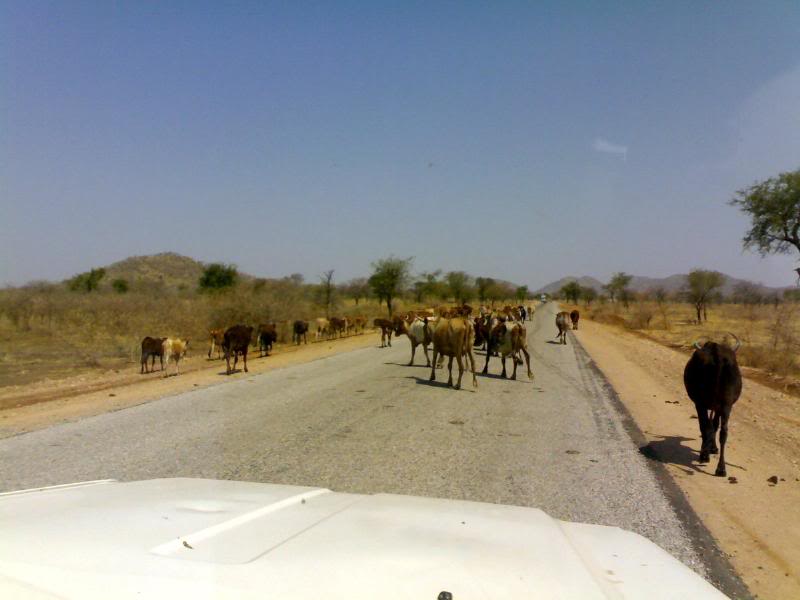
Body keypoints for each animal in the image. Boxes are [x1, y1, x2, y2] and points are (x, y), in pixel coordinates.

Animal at [683, 336, 742, 477]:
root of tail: (717, 354)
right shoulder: (719, 407)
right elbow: (714, 426)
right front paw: (712, 448)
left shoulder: (700, 404)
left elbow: (706, 426)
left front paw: (708, 449)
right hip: (726, 405)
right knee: (723, 432)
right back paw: (721, 468)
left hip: (702, 403)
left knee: (707, 426)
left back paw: (705, 455)